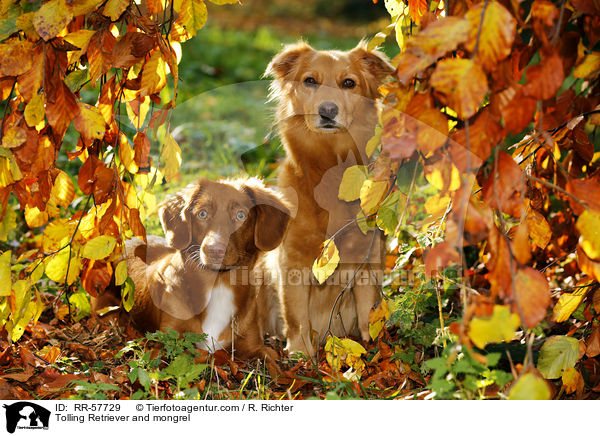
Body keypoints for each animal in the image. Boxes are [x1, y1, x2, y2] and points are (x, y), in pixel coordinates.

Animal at [91, 176, 290, 362]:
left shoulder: (257, 348)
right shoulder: (168, 342)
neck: (219, 283)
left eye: (241, 215)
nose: (214, 250)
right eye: (202, 214)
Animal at [266, 41, 396, 356]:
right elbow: (296, 315)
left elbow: (367, 311)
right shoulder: (293, 262)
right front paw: (300, 354)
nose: (327, 110)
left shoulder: (367, 259)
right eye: (310, 80)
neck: (328, 167)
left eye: (348, 83)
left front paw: (372, 349)